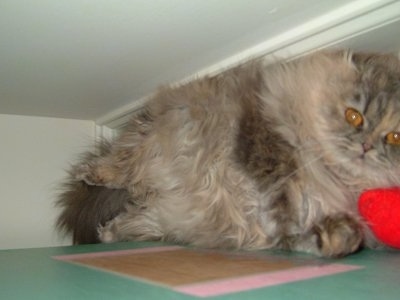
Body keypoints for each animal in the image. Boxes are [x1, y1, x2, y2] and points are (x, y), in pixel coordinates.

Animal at [55, 50, 400, 256]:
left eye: (394, 136)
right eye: (354, 116)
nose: (367, 146)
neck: (334, 173)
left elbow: (305, 236)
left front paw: (332, 238)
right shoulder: (266, 145)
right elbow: (280, 198)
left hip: (158, 219)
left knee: (130, 219)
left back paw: (109, 232)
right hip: (154, 139)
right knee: (120, 167)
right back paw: (92, 174)